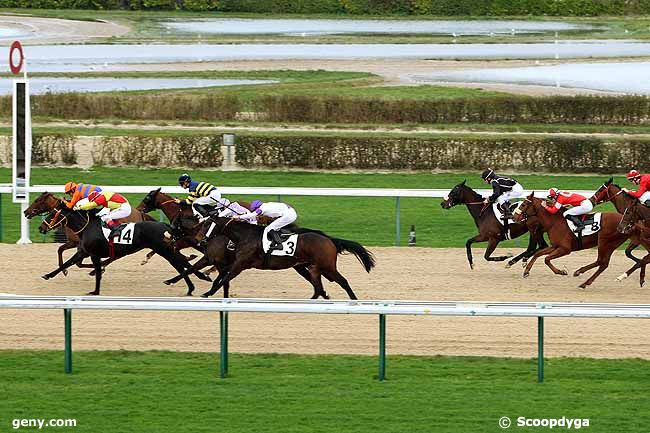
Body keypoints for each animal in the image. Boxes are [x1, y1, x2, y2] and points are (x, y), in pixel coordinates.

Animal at [23, 192, 153, 276]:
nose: (25, 212)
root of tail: (140, 213)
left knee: (116, 256)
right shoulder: (76, 243)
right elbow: (61, 250)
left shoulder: (76, 243)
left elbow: (77, 262)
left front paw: (97, 268)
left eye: (37, 201)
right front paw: (64, 270)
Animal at [39, 205, 210, 294]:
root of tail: (166, 226)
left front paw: (95, 291)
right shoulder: (84, 251)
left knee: (179, 264)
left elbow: (98, 272)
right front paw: (48, 275)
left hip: (164, 250)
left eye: (52, 214)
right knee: (182, 262)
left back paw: (191, 285)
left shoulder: (94, 254)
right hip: (166, 249)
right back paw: (195, 282)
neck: (87, 227)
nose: (41, 228)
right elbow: (67, 263)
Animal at [166, 218, 374, 298]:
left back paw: (353, 300)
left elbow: (220, 278)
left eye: (207, 224)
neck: (243, 236)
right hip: (309, 267)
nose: (200, 240)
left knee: (342, 281)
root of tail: (329, 239)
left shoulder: (236, 263)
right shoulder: (225, 262)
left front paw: (207, 292)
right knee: (317, 286)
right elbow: (217, 277)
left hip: (326, 266)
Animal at [512, 192, 648, 286]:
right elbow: (538, 254)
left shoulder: (565, 249)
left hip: (605, 242)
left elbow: (546, 259)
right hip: (612, 243)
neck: (555, 222)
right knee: (603, 263)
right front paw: (526, 271)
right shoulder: (555, 246)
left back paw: (584, 280)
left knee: (602, 262)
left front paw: (561, 271)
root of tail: (628, 222)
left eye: (523, 204)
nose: (514, 217)